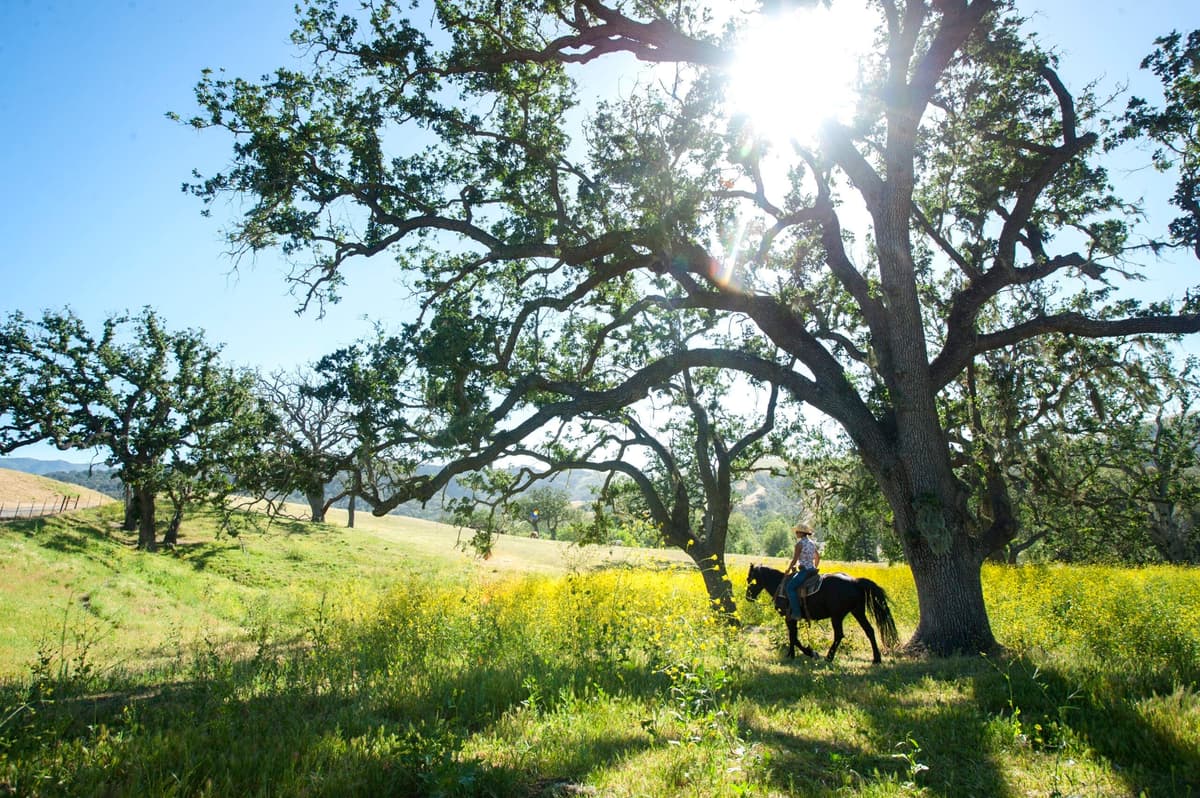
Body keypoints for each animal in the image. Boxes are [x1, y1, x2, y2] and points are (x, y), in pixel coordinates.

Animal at [745, 564, 898, 663]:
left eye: (750, 579)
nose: (748, 597)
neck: (780, 585)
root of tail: (855, 582)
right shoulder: (791, 619)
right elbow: (793, 636)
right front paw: (793, 654)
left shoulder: (790, 618)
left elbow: (794, 637)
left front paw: (809, 653)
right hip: (857, 612)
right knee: (869, 630)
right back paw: (876, 658)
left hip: (837, 616)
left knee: (839, 635)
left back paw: (829, 657)